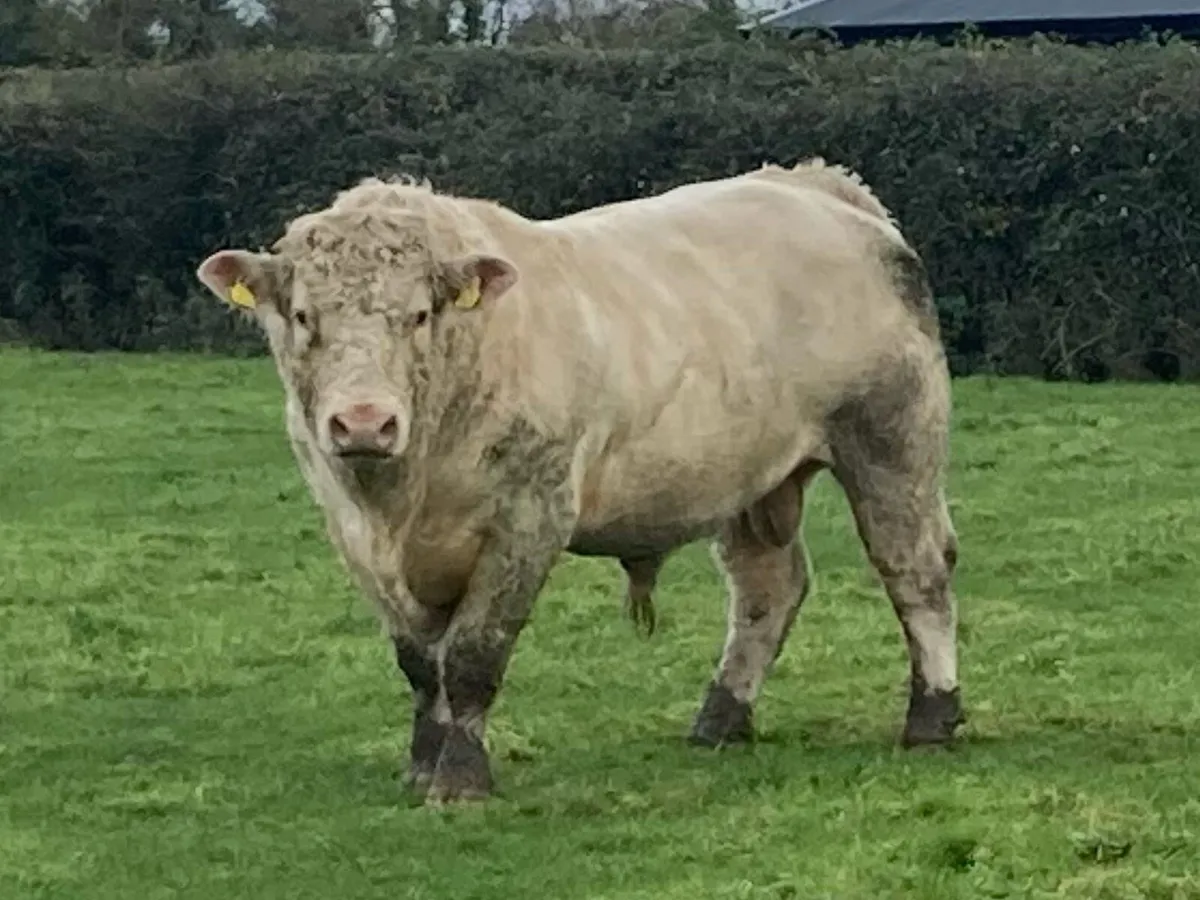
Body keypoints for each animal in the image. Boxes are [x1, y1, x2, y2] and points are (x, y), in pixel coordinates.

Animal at [195, 158, 963, 805]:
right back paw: (721, 719)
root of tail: (818, 187)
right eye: (303, 316)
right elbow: (419, 662)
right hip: (752, 476)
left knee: (915, 569)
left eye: (418, 314)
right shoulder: (352, 532)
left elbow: (471, 655)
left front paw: (461, 779)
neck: (403, 495)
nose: (363, 423)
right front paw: (421, 765)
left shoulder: (530, 517)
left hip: (891, 440)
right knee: (767, 588)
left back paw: (932, 716)